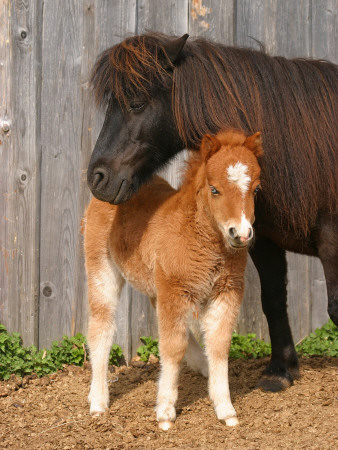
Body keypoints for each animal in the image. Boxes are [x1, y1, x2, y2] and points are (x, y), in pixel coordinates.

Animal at [85, 130, 264, 428]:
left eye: (256, 189)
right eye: (214, 189)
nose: (240, 234)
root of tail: (107, 191)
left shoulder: (225, 291)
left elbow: (218, 345)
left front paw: (226, 409)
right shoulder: (175, 291)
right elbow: (171, 347)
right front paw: (166, 412)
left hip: (158, 284)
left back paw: (201, 365)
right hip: (102, 268)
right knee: (101, 327)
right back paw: (98, 402)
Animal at [88, 32, 338, 390]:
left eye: (136, 103)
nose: (97, 178)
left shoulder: (331, 240)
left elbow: (334, 307)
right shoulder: (263, 239)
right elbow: (274, 300)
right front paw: (280, 370)